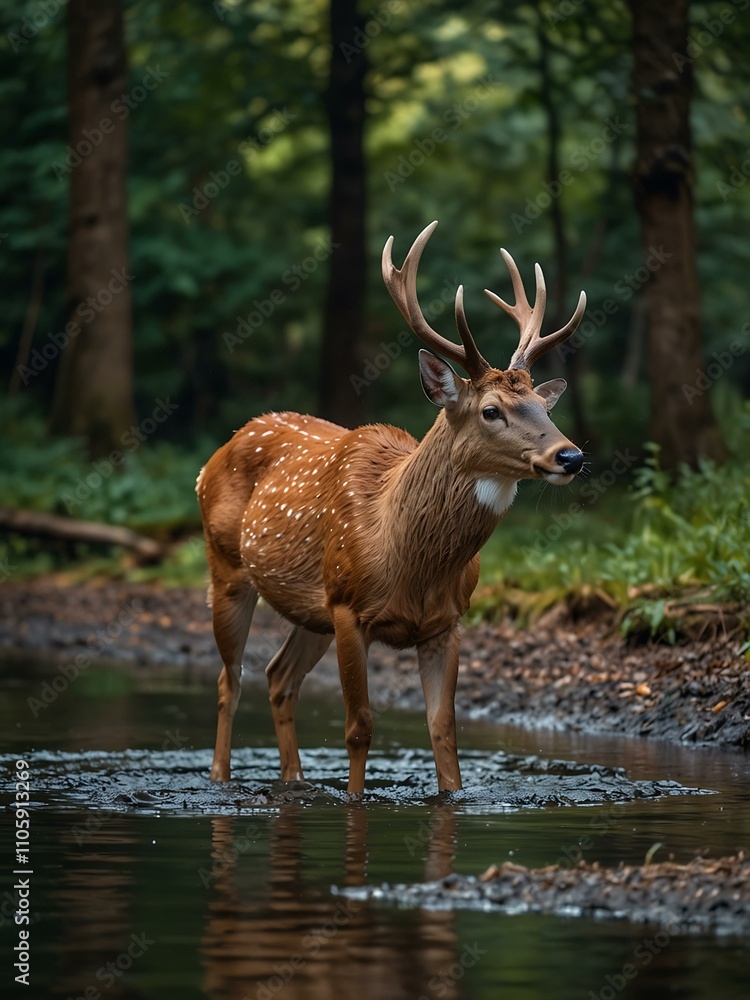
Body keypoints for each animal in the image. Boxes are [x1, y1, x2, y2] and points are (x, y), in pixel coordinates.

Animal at [197, 221, 587, 795]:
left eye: (543, 405)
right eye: (492, 410)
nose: (571, 455)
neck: (404, 555)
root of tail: (216, 454)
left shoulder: (446, 622)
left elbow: (444, 732)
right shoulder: (347, 607)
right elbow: (359, 728)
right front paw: (355, 799)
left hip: (309, 608)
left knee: (278, 676)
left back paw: (295, 781)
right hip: (228, 568)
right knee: (230, 680)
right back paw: (221, 780)